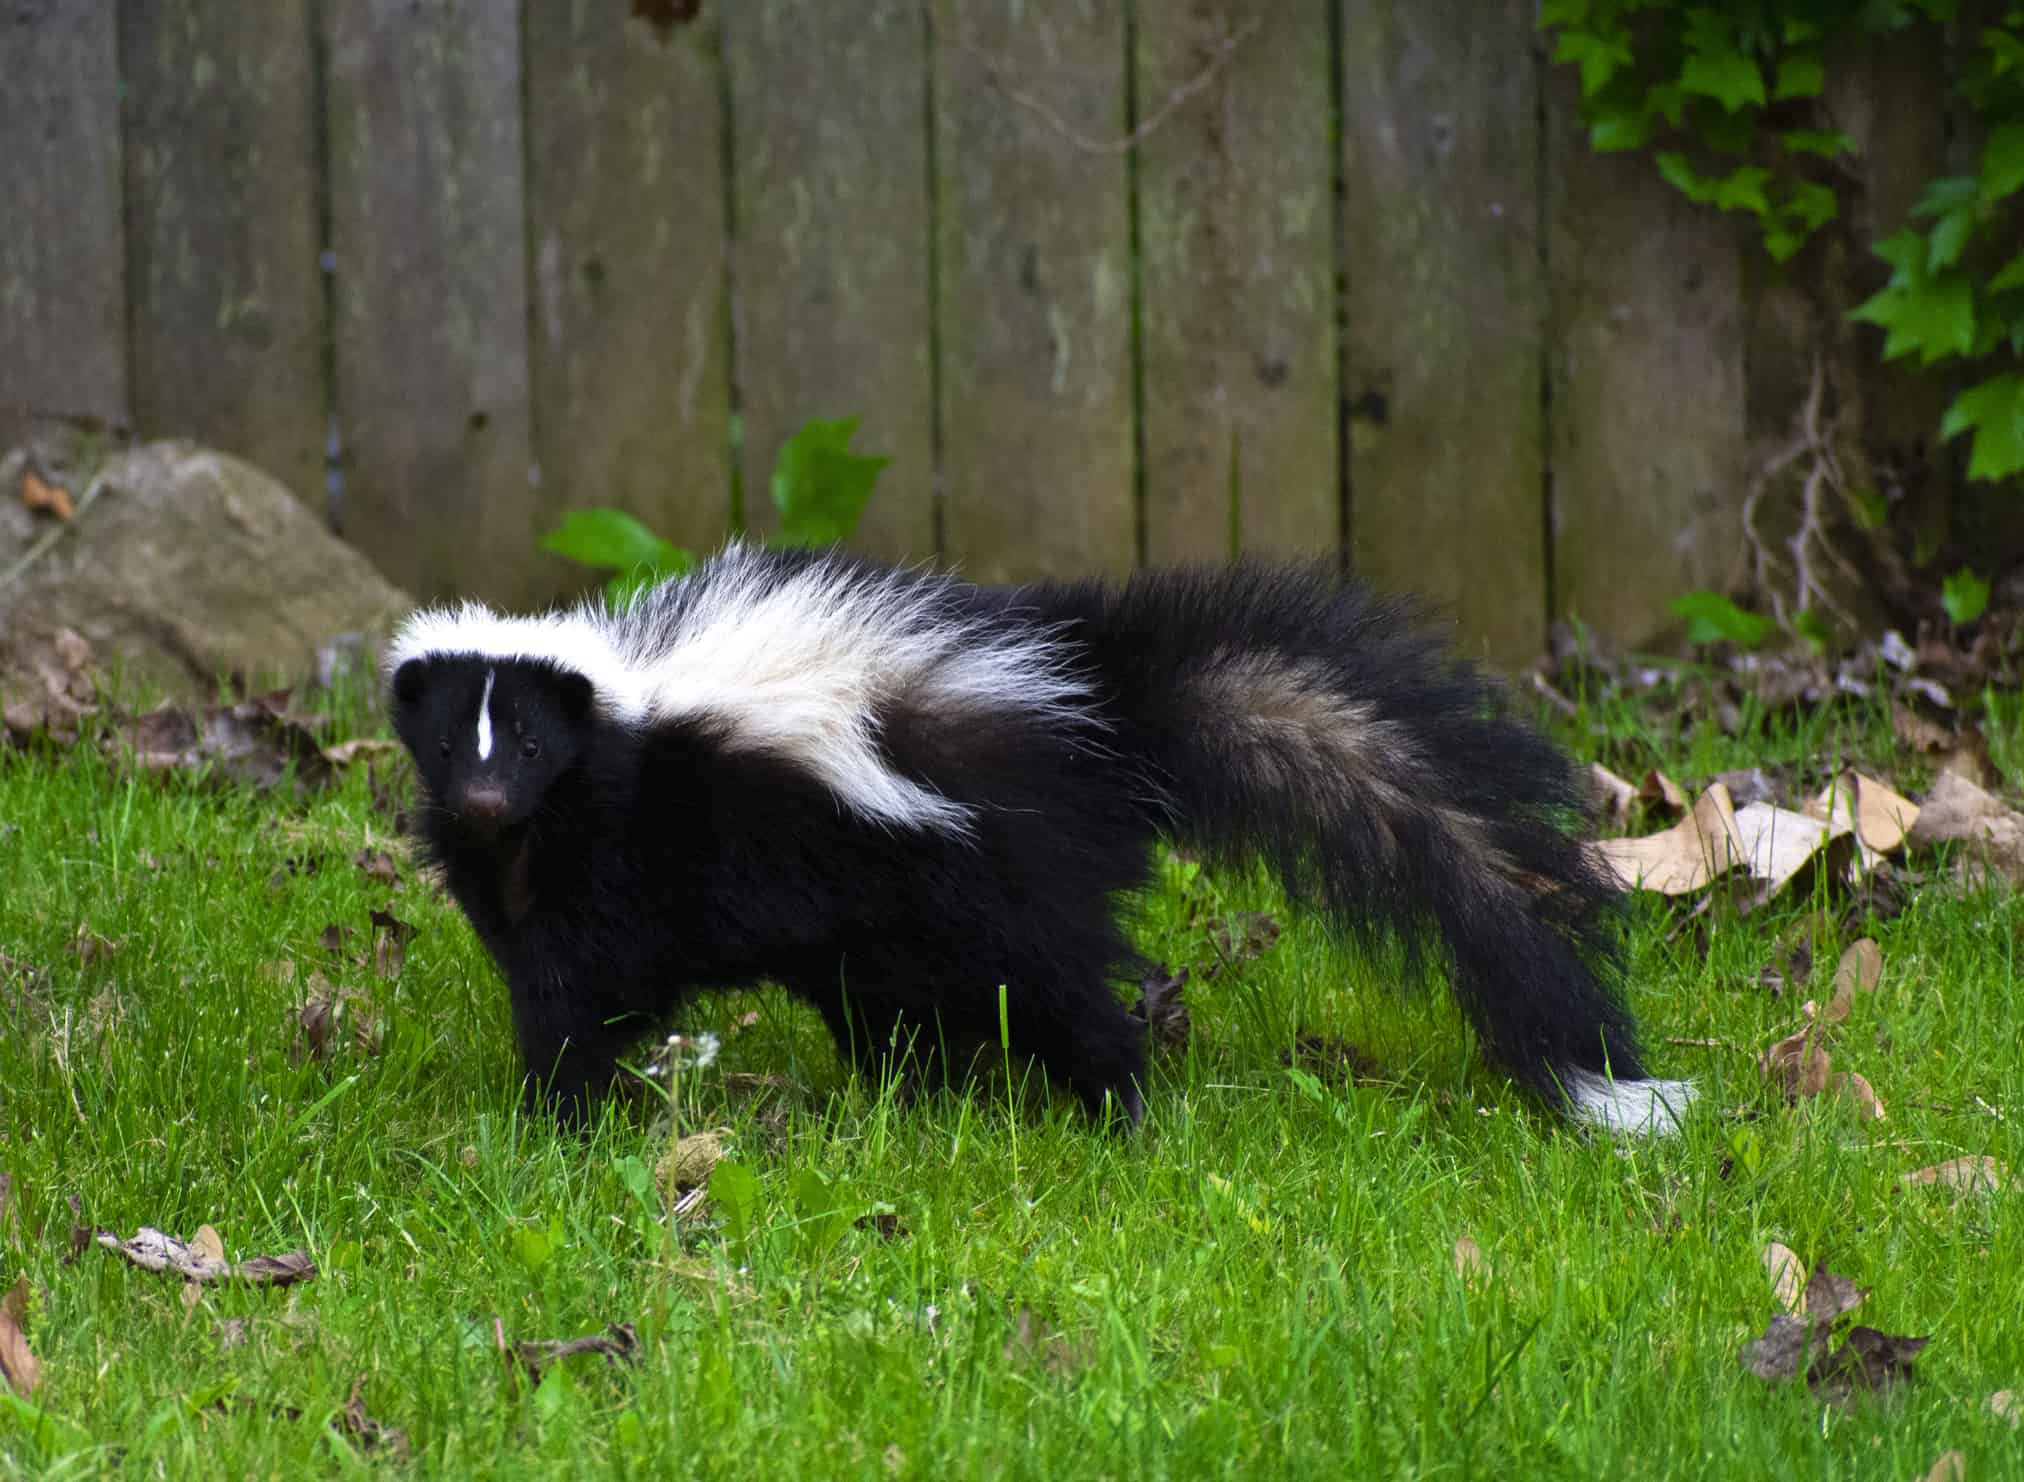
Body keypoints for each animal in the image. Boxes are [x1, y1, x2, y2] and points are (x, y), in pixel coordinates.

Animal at [382, 542, 1692, 1133]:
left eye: (529, 745)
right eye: (452, 746)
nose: (486, 802)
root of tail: (1103, 717)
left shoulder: (622, 856)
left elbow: (584, 989)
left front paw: (556, 1115)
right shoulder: (524, 876)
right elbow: (545, 972)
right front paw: (555, 1107)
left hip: (997, 882)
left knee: (1066, 990)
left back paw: (1120, 1111)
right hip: (899, 924)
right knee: (897, 1005)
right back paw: (913, 1096)